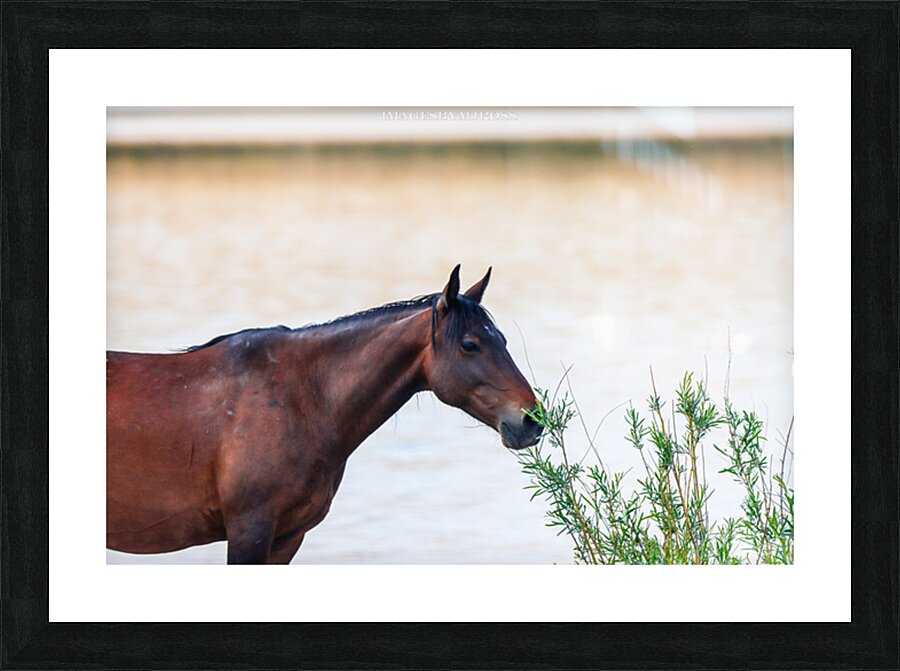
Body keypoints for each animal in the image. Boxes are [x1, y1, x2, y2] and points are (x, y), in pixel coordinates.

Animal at [107, 265, 542, 564]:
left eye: (502, 339)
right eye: (470, 344)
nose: (531, 420)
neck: (302, 398)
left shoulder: (286, 538)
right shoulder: (249, 530)